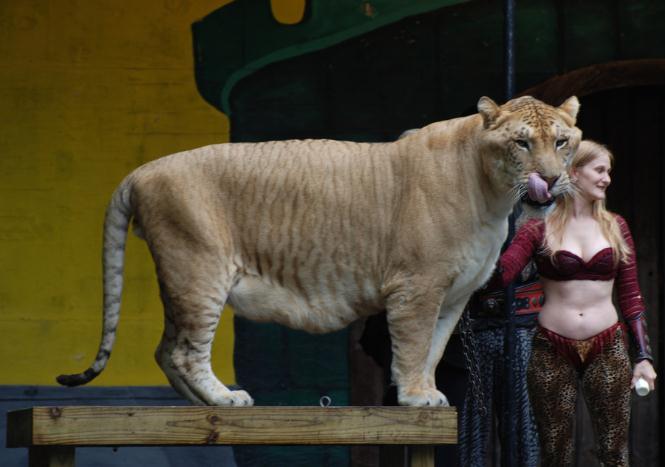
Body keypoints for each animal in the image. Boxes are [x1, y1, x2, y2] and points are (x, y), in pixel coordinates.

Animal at [58, 97, 580, 408]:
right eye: (521, 143)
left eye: (561, 141)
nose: (551, 179)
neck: (492, 194)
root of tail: (139, 171)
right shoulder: (417, 286)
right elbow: (414, 344)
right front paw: (415, 396)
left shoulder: (452, 296)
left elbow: (434, 348)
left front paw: (426, 392)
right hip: (199, 269)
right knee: (185, 351)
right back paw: (226, 399)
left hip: (183, 278)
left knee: (166, 350)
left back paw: (206, 405)